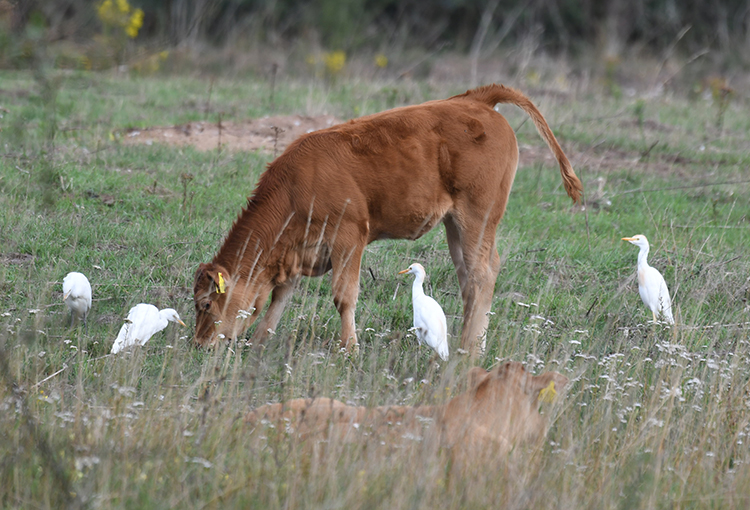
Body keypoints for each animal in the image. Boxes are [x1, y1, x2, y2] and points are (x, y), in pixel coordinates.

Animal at [193, 84, 582, 354]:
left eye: (206, 303)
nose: (199, 344)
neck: (296, 187)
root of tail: (475, 99)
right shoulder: (300, 251)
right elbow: (280, 297)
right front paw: (260, 341)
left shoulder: (349, 237)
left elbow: (344, 296)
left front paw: (349, 350)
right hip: (455, 223)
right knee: (469, 277)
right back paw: (465, 343)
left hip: (479, 216)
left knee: (482, 274)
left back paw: (471, 348)